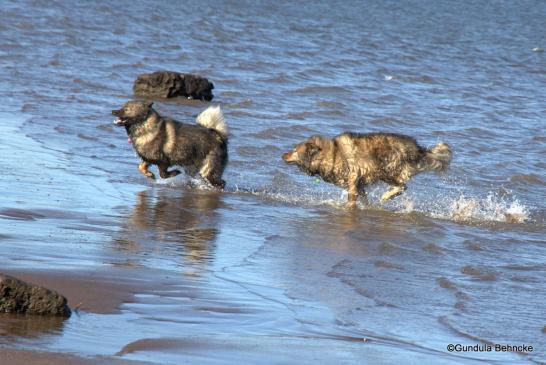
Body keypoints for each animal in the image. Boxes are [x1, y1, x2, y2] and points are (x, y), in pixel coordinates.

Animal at [280, 132, 450, 206]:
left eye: (294, 150)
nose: (282, 155)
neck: (332, 154)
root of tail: (416, 149)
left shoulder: (353, 179)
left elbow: (351, 199)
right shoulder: (359, 185)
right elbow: (364, 199)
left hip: (386, 169)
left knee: (402, 186)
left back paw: (386, 196)